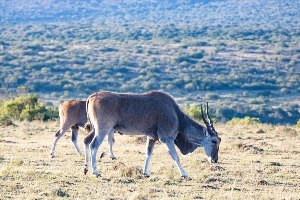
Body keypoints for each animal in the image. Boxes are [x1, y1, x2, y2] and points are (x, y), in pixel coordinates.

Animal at [84, 91, 220, 178]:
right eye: (214, 141)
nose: (215, 160)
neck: (176, 114)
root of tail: (92, 96)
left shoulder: (151, 138)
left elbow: (148, 154)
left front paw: (146, 173)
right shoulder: (167, 139)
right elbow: (175, 156)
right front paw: (184, 174)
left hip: (95, 130)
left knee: (86, 140)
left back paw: (85, 168)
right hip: (103, 129)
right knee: (93, 145)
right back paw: (96, 172)